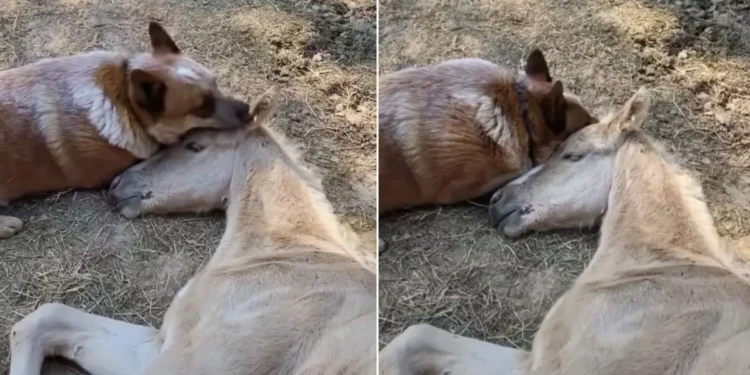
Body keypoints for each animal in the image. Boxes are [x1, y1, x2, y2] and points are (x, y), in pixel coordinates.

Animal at [9, 87, 378, 375]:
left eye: (195, 146)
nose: (117, 185)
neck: (291, 253)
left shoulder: (191, 362)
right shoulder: (160, 345)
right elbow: (43, 319)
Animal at [382, 89, 750, 375]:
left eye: (573, 155)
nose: (497, 201)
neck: (659, 266)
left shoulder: (551, 363)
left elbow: (414, 339)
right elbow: (418, 337)